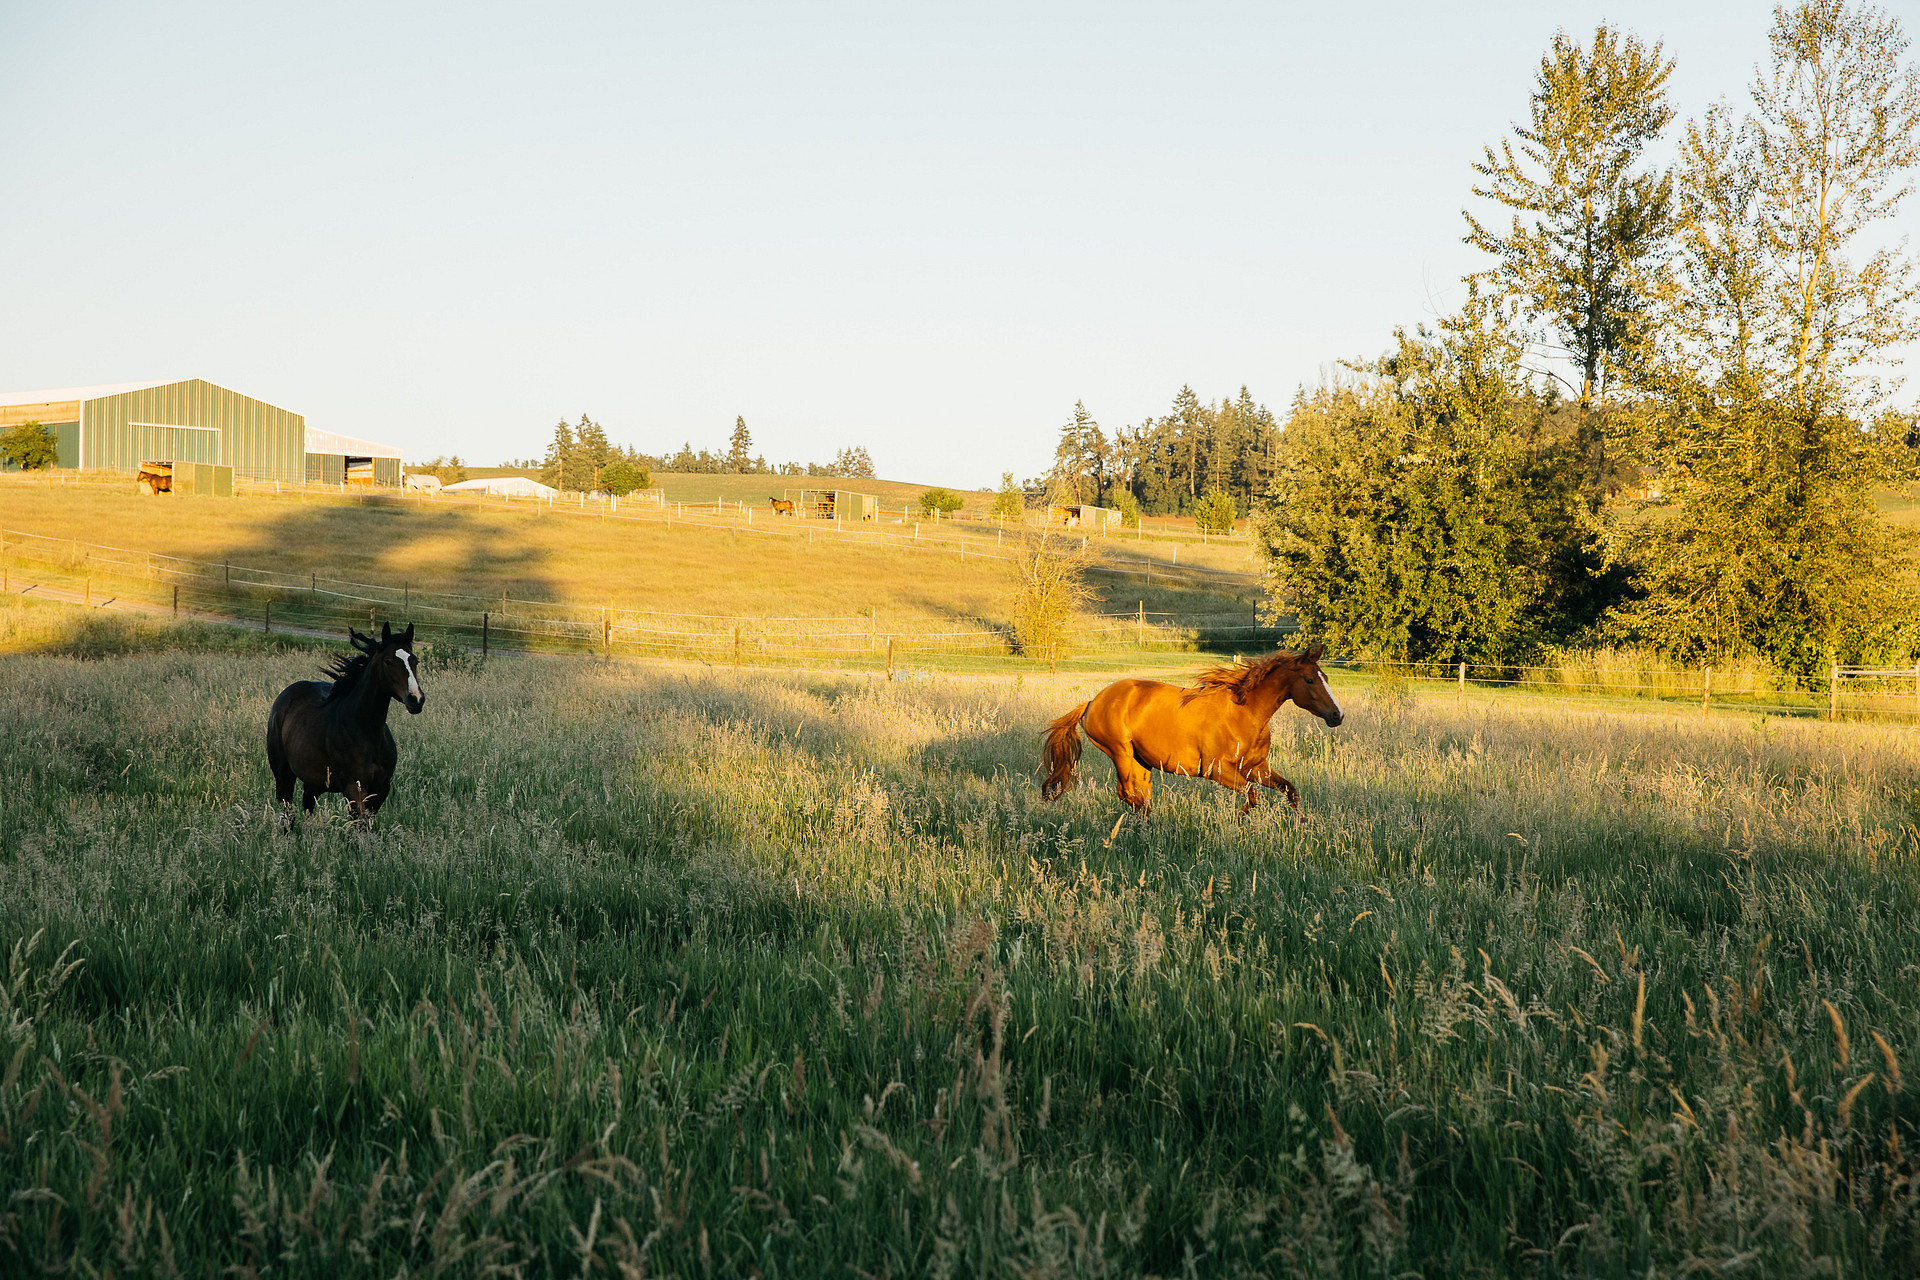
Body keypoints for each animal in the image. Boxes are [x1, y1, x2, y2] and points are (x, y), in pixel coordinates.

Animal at [267, 622, 425, 825]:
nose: (416, 699)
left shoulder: (381, 789)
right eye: (388, 661)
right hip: (283, 773)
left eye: (415, 661)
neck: (367, 731)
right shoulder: (353, 789)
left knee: (307, 802)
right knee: (287, 816)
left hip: (317, 781)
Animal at [1040, 644, 1343, 818]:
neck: (1244, 714)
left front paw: (1302, 823)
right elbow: (1252, 796)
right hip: (1121, 754)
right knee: (1128, 795)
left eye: (1325, 677)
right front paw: (1239, 821)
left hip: (1141, 761)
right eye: (1309, 680)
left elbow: (1290, 790)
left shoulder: (1255, 768)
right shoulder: (1217, 770)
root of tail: (1092, 702)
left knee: (1141, 797)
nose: (1337, 716)